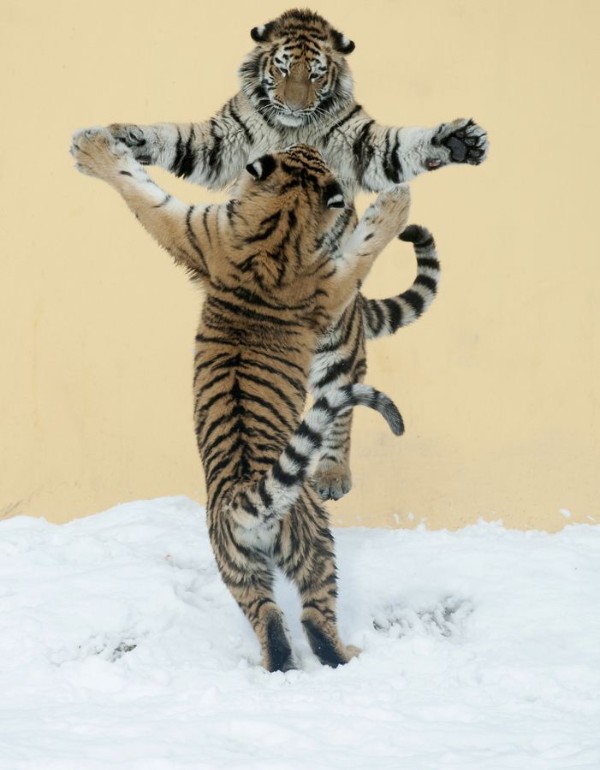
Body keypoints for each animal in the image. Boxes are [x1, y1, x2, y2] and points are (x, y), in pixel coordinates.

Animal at [71, 127, 436, 670]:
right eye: (300, 153)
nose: (309, 142)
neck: (276, 228)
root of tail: (245, 499)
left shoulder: (191, 232)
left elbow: (142, 192)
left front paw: (92, 150)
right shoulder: (331, 284)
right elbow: (364, 247)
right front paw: (394, 203)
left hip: (237, 567)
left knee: (270, 621)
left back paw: (277, 664)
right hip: (313, 542)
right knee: (314, 620)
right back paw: (347, 654)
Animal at [104, 8, 455, 502]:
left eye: (316, 73)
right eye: (283, 68)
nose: (291, 106)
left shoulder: (360, 142)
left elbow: (393, 150)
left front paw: (458, 142)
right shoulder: (223, 139)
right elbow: (183, 144)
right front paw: (127, 137)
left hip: (338, 341)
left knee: (338, 401)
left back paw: (331, 475)